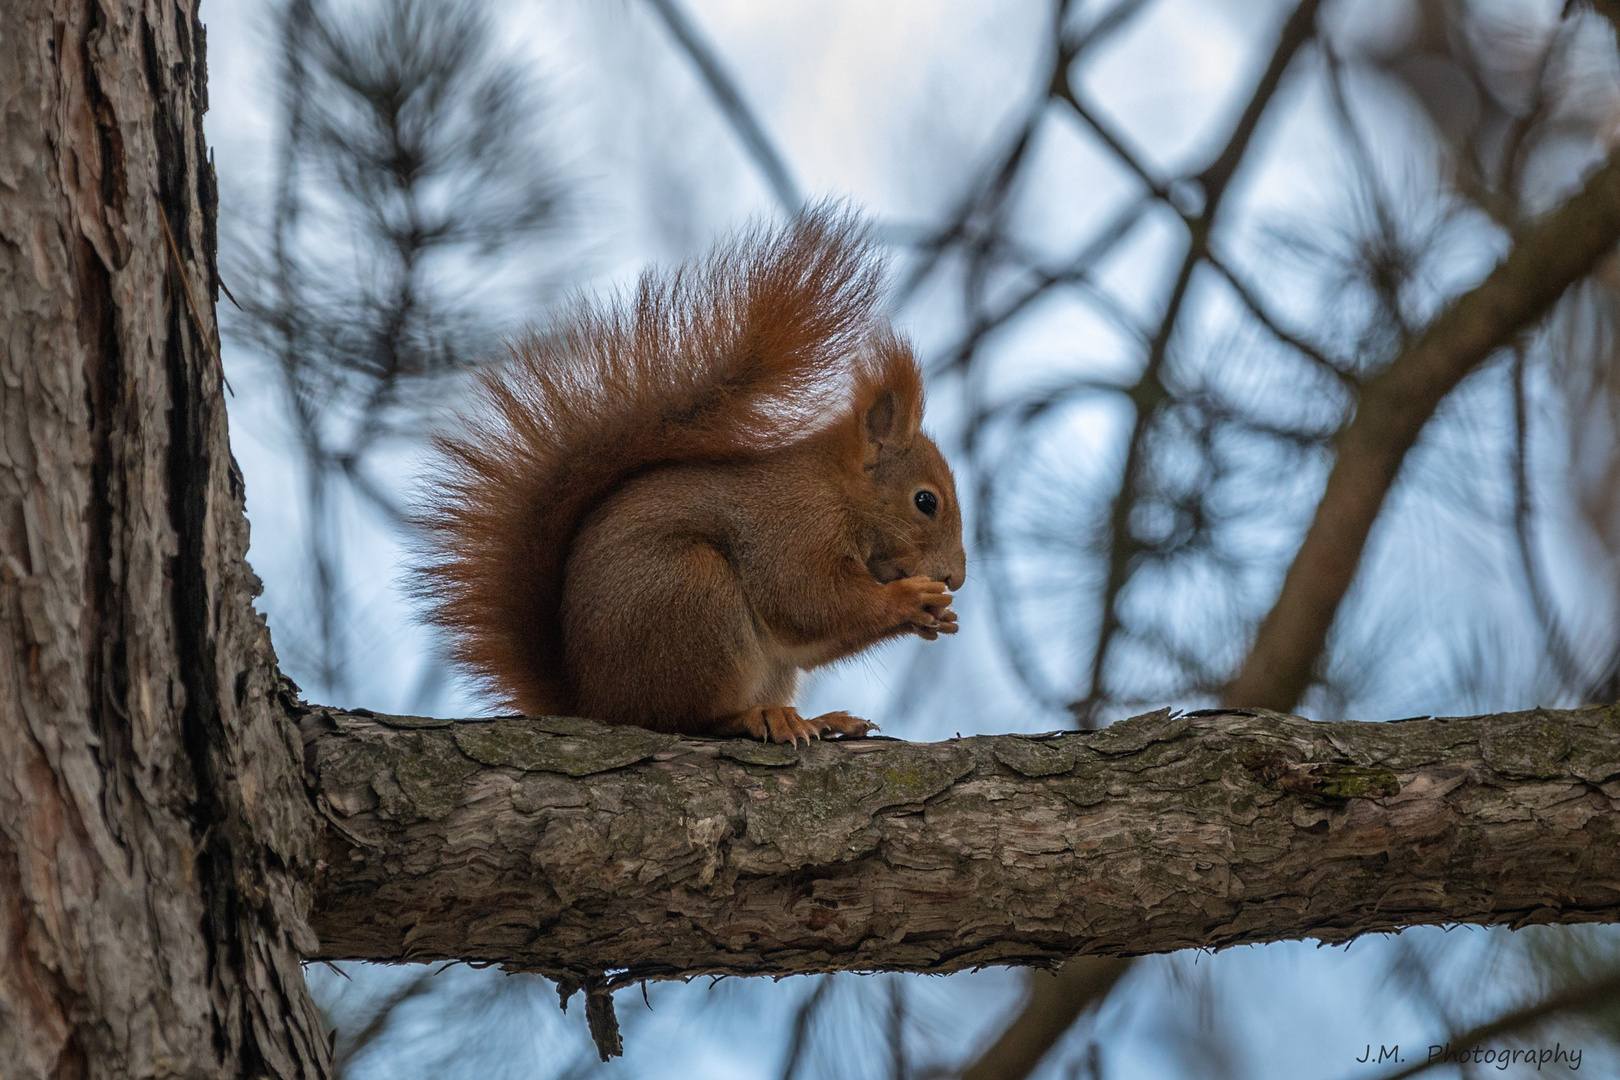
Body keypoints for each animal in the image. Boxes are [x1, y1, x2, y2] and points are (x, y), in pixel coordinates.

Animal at [417, 204, 965, 744]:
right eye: (926, 501)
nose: (955, 579)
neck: (836, 491)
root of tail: (594, 702)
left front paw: (939, 614)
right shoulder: (791, 532)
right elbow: (809, 602)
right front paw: (910, 599)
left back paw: (822, 720)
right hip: (693, 595)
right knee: (688, 716)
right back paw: (758, 717)